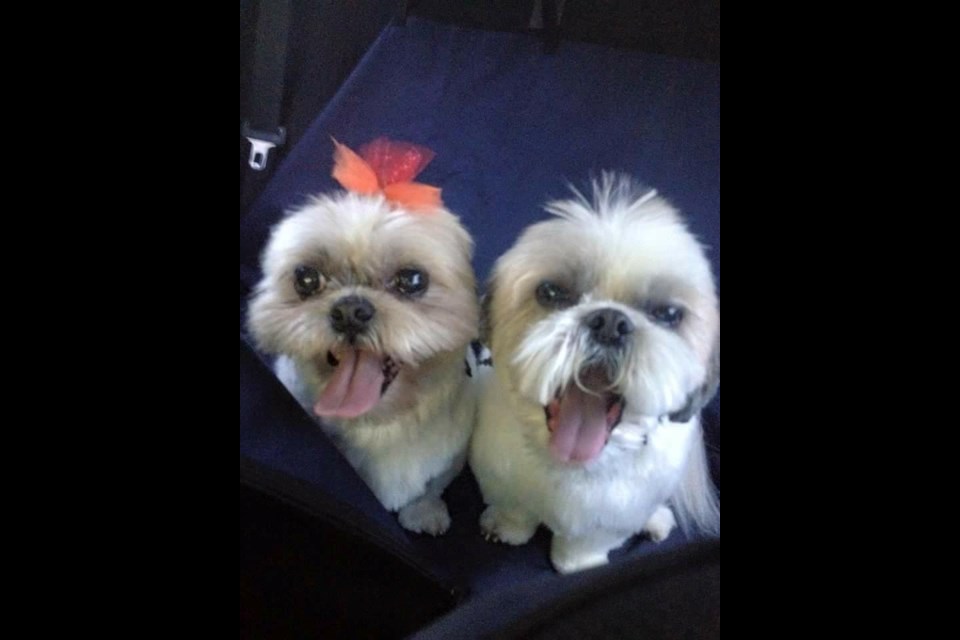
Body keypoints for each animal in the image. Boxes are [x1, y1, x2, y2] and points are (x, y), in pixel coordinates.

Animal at [248, 139, 480, 536]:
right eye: (306, 278)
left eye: (413, 280)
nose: (350, 310)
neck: (378, 424)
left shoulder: (453, 448)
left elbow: (434, 483)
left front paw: (423, 510)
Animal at [472, 172, 720, 572]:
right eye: (551, 292)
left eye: (668, 314)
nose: (610, 322)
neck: (570, 464)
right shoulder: (501, 479)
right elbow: (515, 514)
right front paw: (505, 531)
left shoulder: (613, 518)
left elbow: (582, 547)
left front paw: (577, 565)